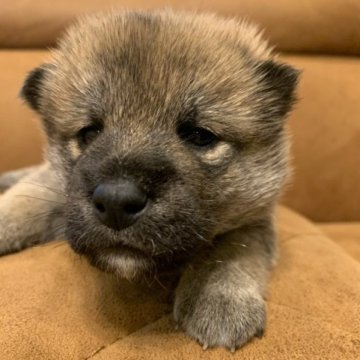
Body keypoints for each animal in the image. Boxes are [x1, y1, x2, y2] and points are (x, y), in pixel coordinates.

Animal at [0, 10, 298, 352]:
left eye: (200, 136)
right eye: (89, 133)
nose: (116, 203)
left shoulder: (257, 215)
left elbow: (234, 247)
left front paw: (220, 299)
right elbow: (25, 198)